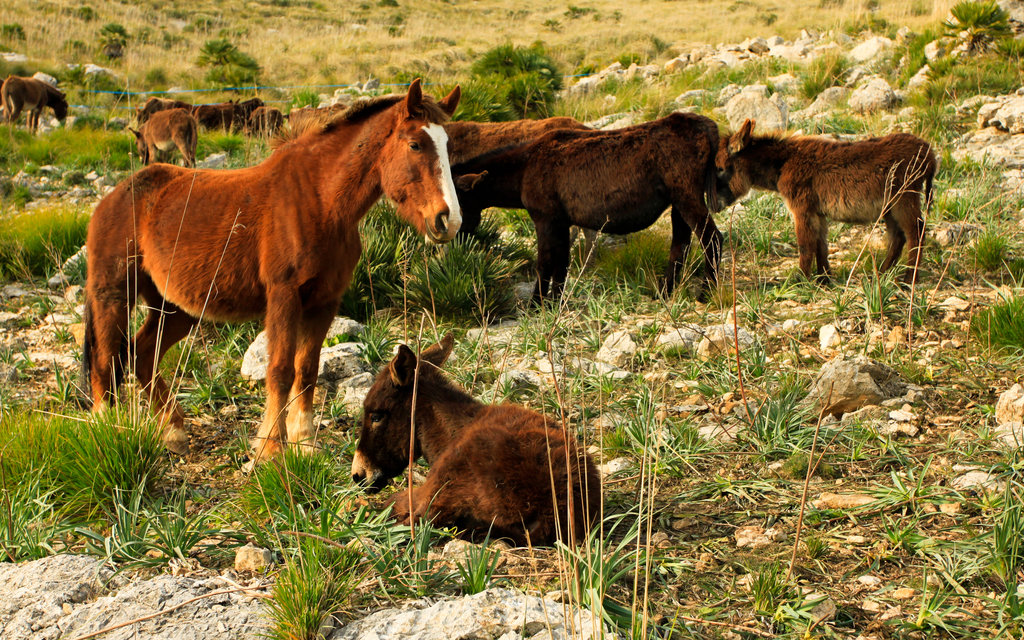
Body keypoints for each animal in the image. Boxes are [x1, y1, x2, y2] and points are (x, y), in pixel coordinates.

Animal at [83, 80, 464, 458]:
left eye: (448, 146)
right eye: (415, 144)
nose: (449, 221)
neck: (320, 202)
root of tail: (114, 197)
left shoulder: (324, 302)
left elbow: (307, 370)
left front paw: (304, 442)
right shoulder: (284, 296)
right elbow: (280, 370)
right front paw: (269, 449)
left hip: (175, 308)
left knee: (141, 353)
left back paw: (174, 429)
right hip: (113, 295)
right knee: (105, 359)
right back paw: (104, 431)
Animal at [350, 331, 598, 544]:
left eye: (376, 416)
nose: (358, 475)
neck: (449, 431)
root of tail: (549, 513)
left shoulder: (430, 489)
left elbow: (394, 503)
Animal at [452, 113, 724, 301]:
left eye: (456, 202)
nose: (453, 242)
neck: (524, 167)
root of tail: (703, 125)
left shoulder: (545, 220)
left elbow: (544, 263)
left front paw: (536, 305)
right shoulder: (561, 222)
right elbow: (561, 264)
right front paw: (554, 303)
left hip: (687, 196)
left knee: (712, 239)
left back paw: (706, 293)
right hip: (678, 202)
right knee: (680, 245)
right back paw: (665, 293)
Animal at [716, 117, 933, 282]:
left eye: (720, 168)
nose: (715, 205)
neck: (784, 163)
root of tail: (929, 152)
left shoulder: (802, 209)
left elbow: (805, 245)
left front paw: (800, 280)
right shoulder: (817, 212)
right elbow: (821, 244)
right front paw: (824, 278)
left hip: (904, 198)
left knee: (916, 231)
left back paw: (909, 278)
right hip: (889, 207)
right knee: (898, 237)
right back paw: (882, 273)